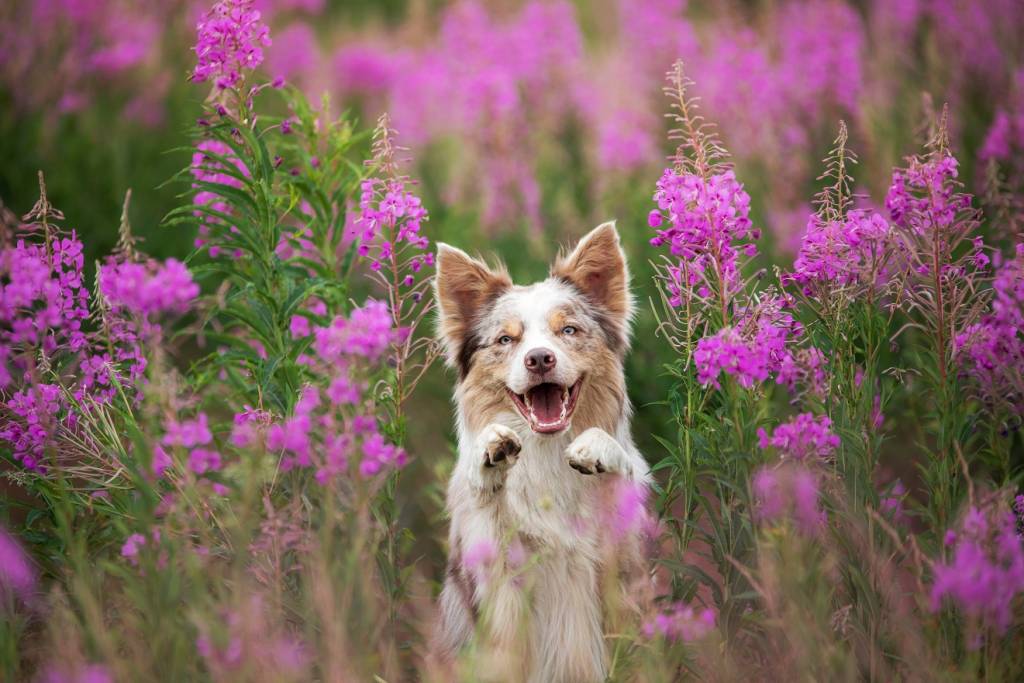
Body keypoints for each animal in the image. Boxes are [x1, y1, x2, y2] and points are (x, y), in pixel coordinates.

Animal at [434, 223, 655, 683]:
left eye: (567, 330)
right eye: (506, 339)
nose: (538, 359)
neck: (548, 452)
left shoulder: (624, 569)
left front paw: (598, 449)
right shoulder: (499, 584)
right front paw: (489, 454)